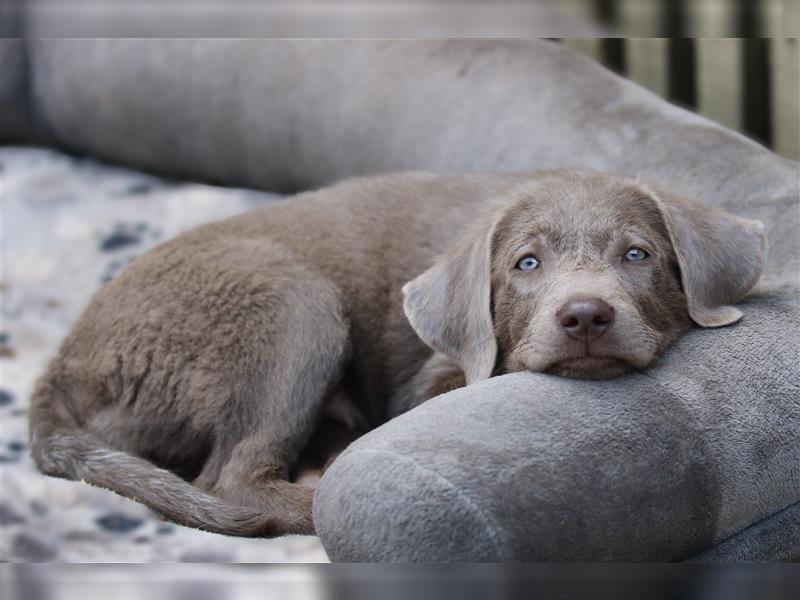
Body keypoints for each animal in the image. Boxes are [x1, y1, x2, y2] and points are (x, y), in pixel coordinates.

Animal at [28, 171, 764, 536]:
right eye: (525, 264)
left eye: (638, 254)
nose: (584, 315)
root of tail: (60, 370)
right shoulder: (435, 374)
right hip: (291, 304)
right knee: (231, 479)